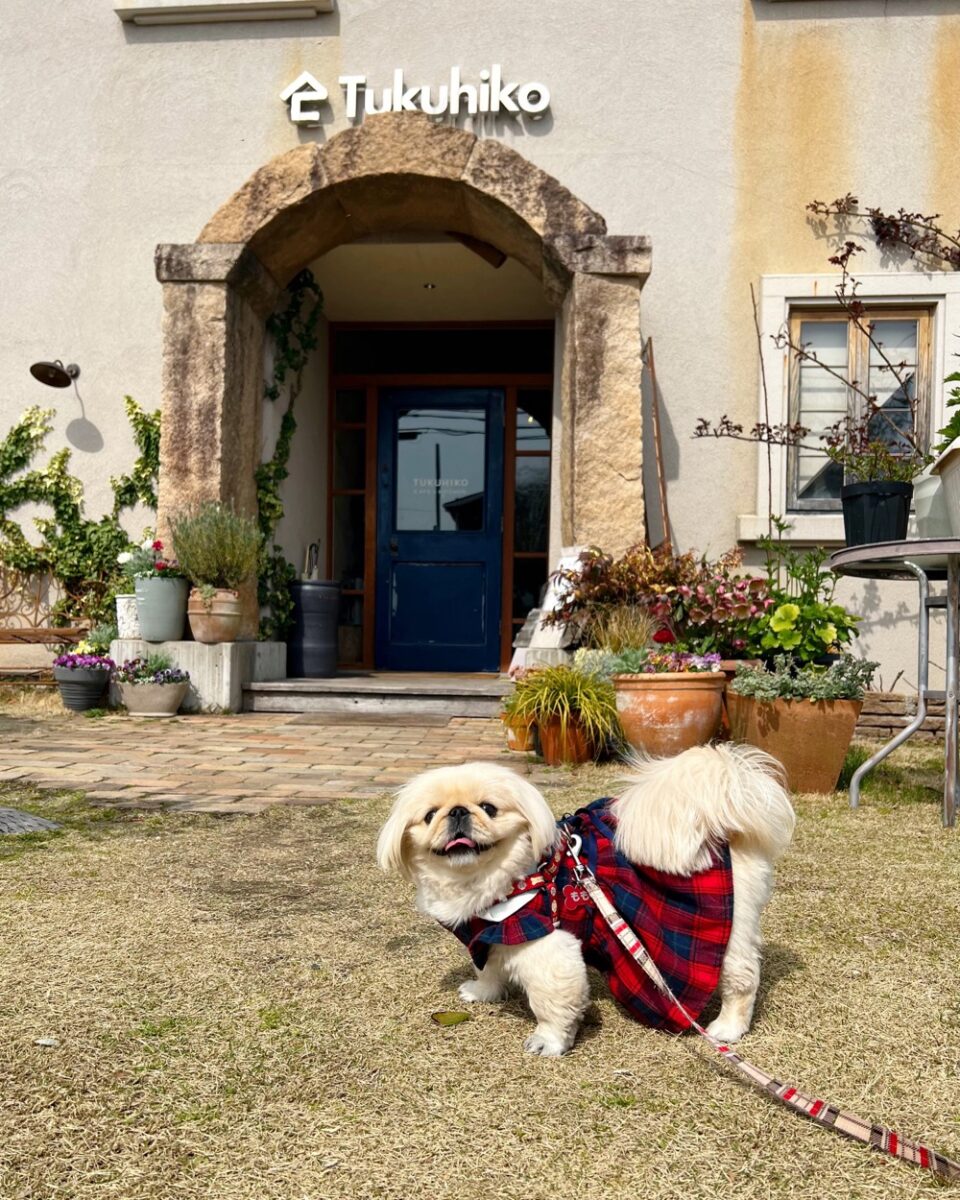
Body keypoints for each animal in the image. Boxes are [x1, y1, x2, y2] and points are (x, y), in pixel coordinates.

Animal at [376, 745, 795, 1056]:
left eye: (490, 808)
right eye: (430, 815)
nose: (458, 812)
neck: (492, 879)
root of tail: (722, 828)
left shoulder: (547, 946)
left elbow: (552, 1000)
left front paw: (549, 1041)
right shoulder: (494, 933)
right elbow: (489, 968)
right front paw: (483, 993)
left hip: (732, 931)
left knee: (743, 979)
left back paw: (728, 1028)